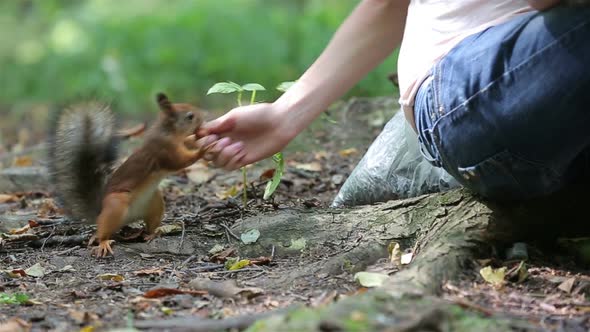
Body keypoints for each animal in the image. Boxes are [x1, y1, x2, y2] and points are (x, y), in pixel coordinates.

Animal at [49, 92, 210, 258]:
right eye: (190, 116)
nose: (205, 116)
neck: (168, 132)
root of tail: (100, 211)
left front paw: (197, 141)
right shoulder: (164, 151)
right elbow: (180, 162)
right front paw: (202, 149)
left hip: (155, 203)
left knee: (149, 226)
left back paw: (153, 234)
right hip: (116, 204)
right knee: (102, 231)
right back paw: (103, 242)